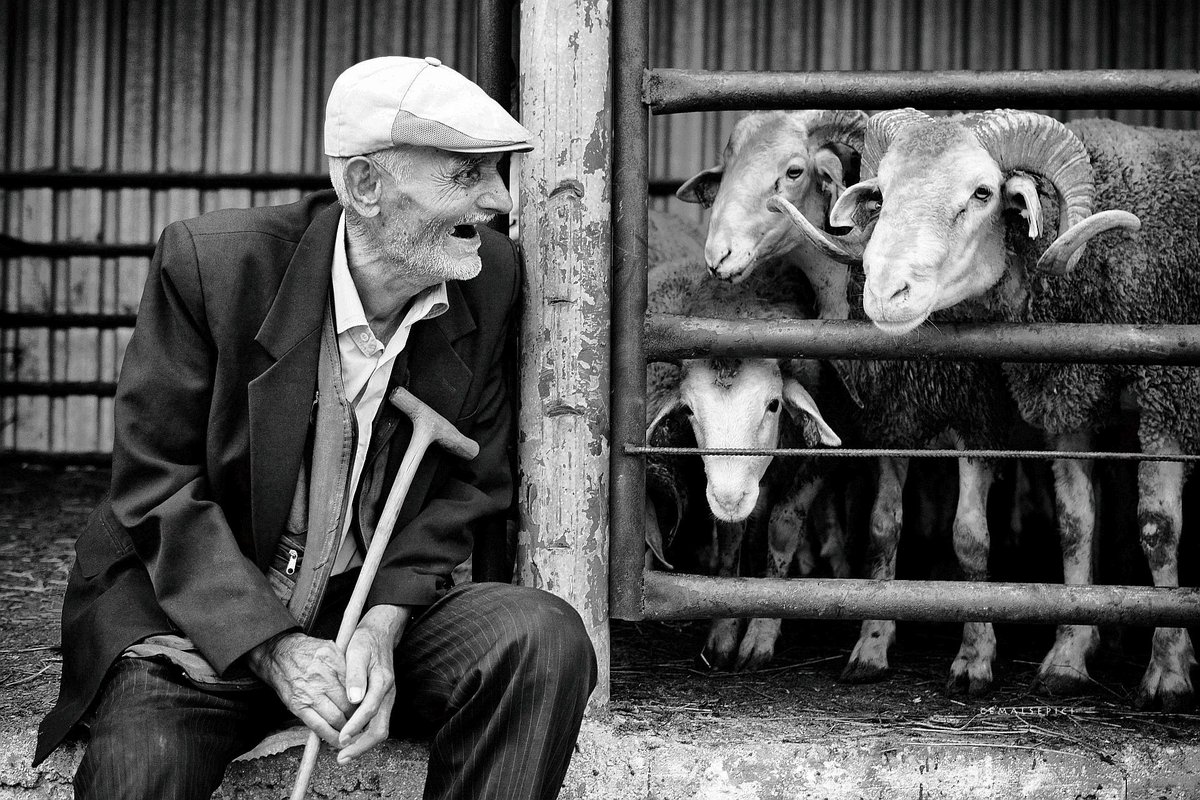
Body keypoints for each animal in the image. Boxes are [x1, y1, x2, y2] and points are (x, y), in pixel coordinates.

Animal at [643, 236, 849, 671]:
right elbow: (730, 540)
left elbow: (782, 532)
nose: (729, 497)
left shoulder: (815, 464)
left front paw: (761, 634)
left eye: (774, 405)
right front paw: (723, 632)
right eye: (689, 411)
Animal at [782, 104, 1195, 705]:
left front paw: (1167, 670)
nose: (885, 293)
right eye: (881, 192)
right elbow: (1075, 523)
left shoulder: (1168, 397)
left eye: (983, 193)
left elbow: (1159, 528)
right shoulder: (1065, 403)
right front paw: (1068, 657)